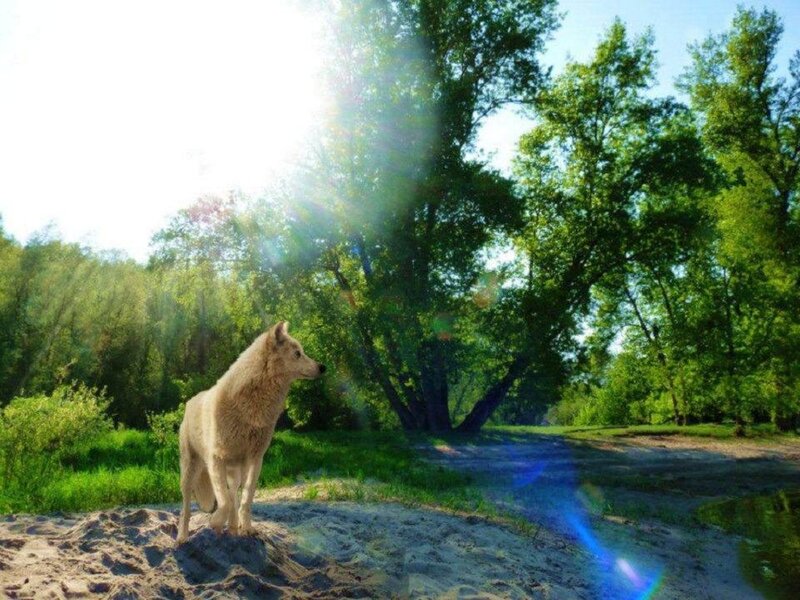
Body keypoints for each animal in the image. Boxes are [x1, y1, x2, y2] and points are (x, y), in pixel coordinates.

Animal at [176, 321, 325, 543]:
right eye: (298, 353)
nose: (323, 367)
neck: (251, 408)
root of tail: (190, 401)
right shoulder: (216, 459)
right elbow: (224, 502)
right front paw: (216, 522)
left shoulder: (255, 459)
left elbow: (245, 499)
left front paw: (246, 529)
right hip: (190, 472)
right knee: (186, 507)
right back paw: (182, 537)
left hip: (235, 472)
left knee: (233, 497)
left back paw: (232, 530)